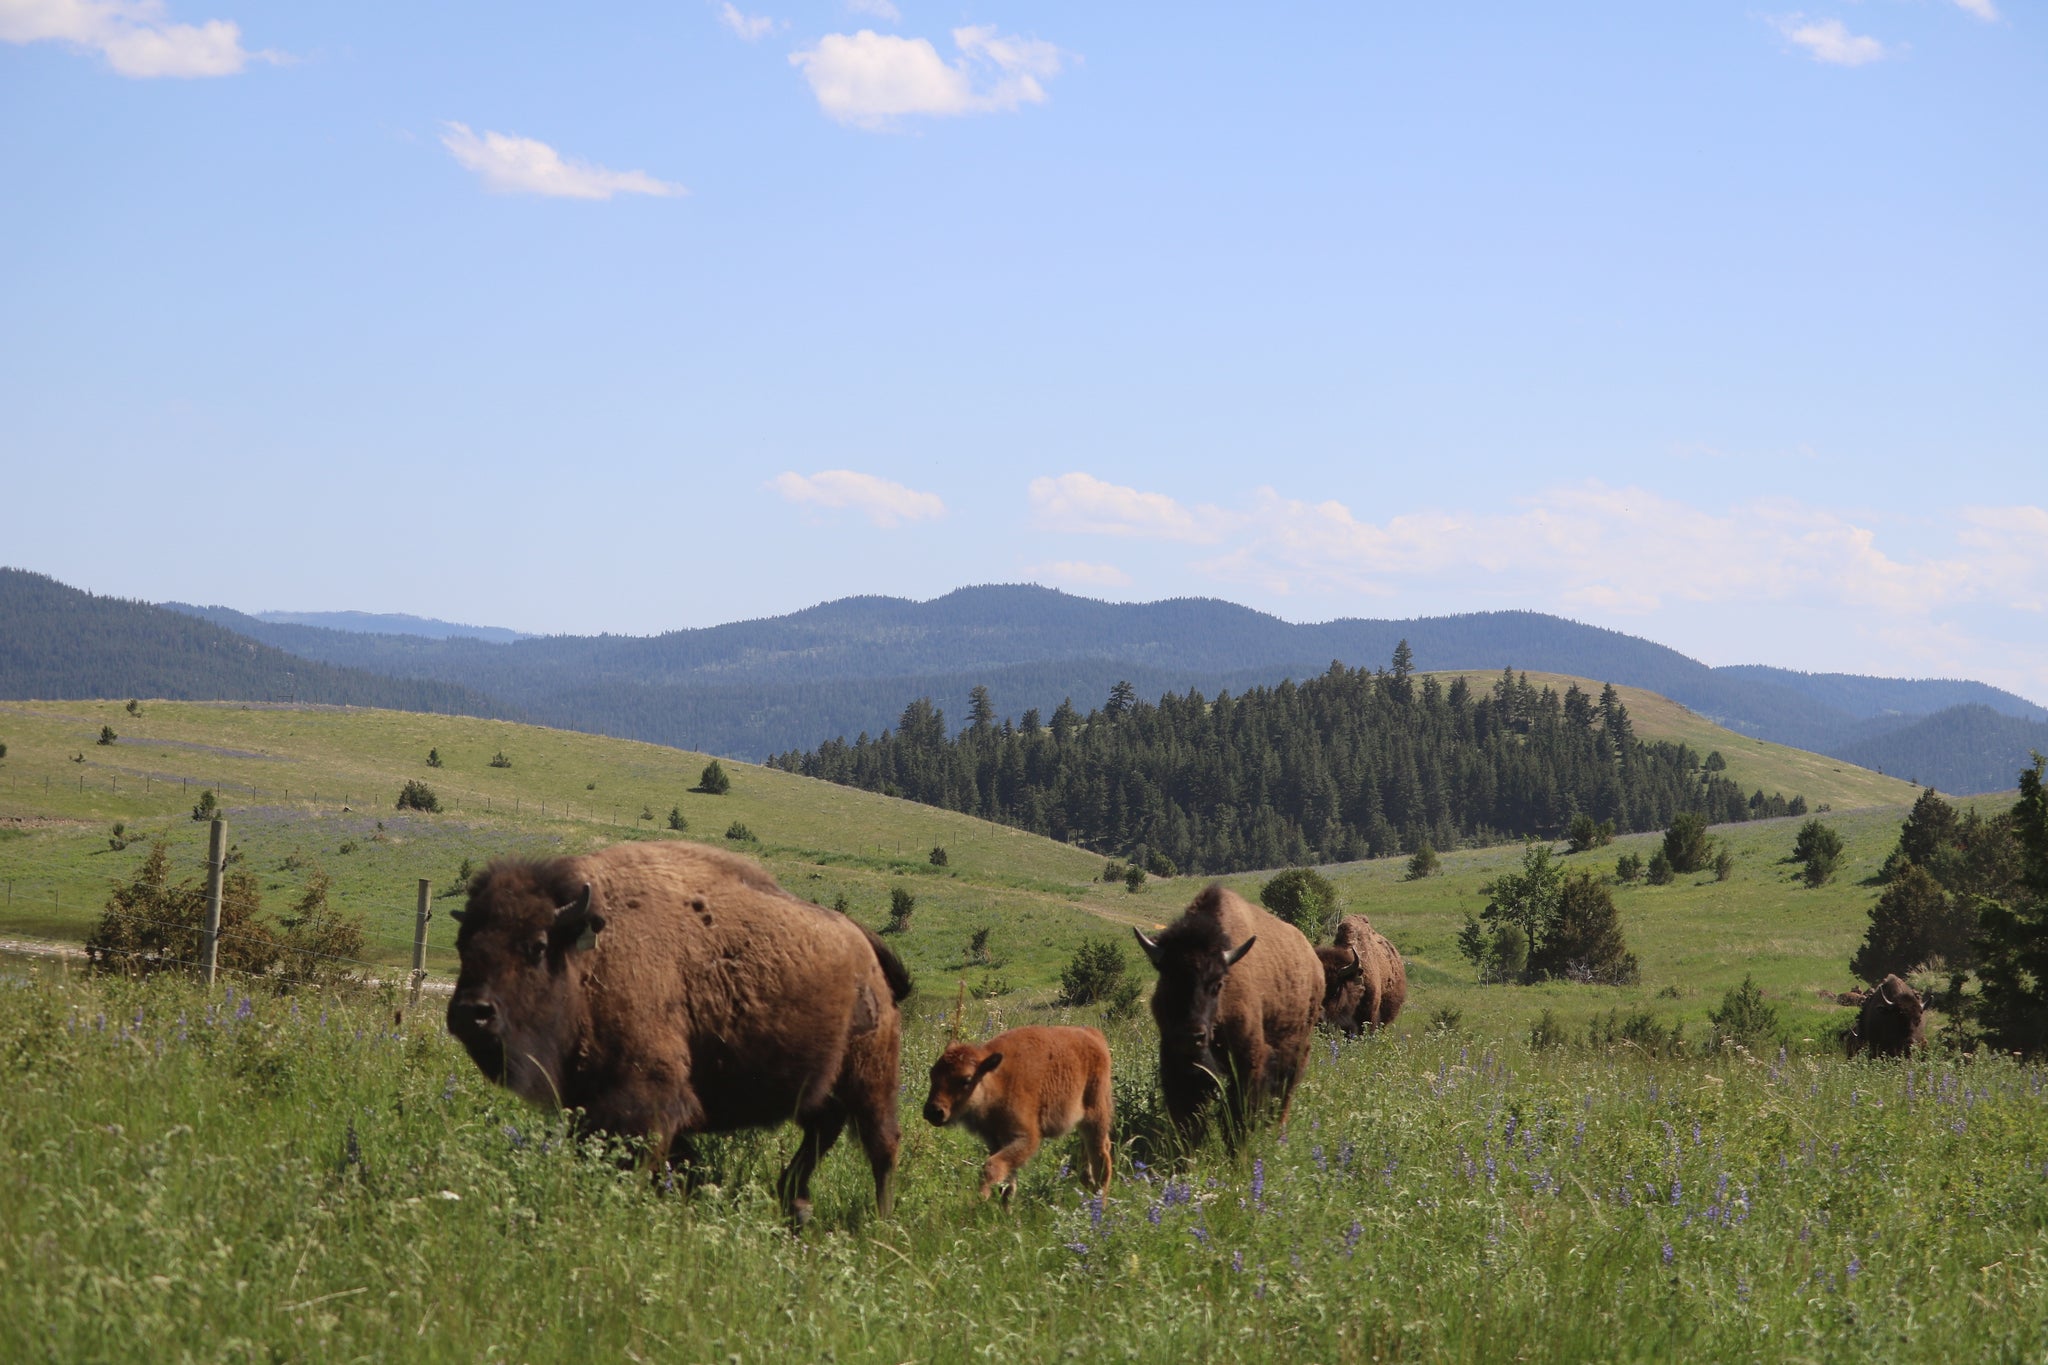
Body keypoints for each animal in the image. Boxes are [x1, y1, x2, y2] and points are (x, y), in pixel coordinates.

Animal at [447, 840, 911, 1225]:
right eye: (462, 943)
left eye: (538, 945)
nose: (471, 1013)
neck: (591, 957)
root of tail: (865, 943)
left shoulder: (644, 1102)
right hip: (822, 1087)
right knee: (823, 1131)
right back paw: (797, 1205)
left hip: (872, 1078)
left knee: (883, 1145)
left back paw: (880, 1224)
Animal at [1135, 885, 1321, 1149]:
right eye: (1168, 980)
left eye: (1218, 984)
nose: (1191, 1035)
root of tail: (1315, 964)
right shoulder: (1176, 1061)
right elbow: (1187, 1117)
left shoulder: (1248, 1060)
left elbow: (1239, 1116)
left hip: (1297, 1051)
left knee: (1284, 1095)